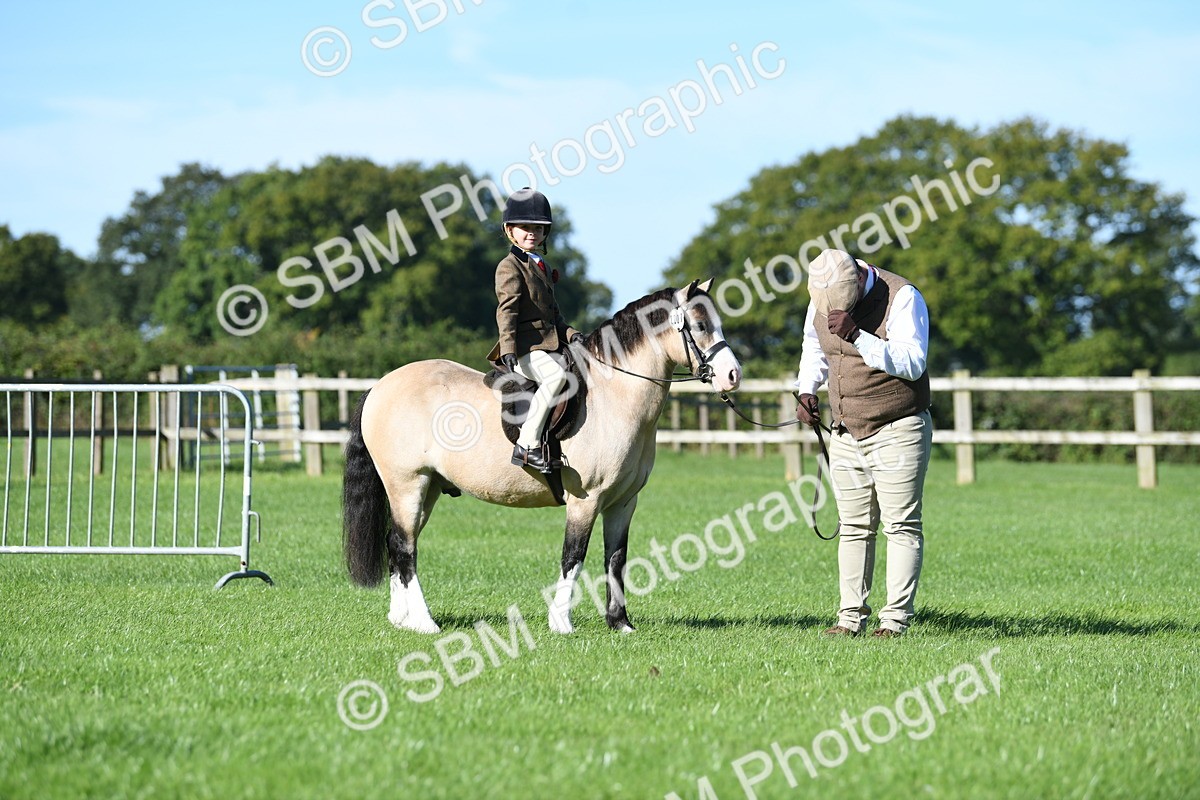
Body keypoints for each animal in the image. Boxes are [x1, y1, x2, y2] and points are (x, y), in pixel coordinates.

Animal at [342, 279, 743, 634]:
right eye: (701, 325)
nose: (732, 375)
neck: (614, 395)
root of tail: (380, 385)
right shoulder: (585, 501)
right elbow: (573, 556)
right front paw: (561, 623)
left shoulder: (623, 502)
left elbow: (616, 559)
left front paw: (621, 624)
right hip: (407, 485)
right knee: (404, 547)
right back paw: (425, 623)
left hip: (428, 490)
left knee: (397, 544)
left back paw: (402, 619)